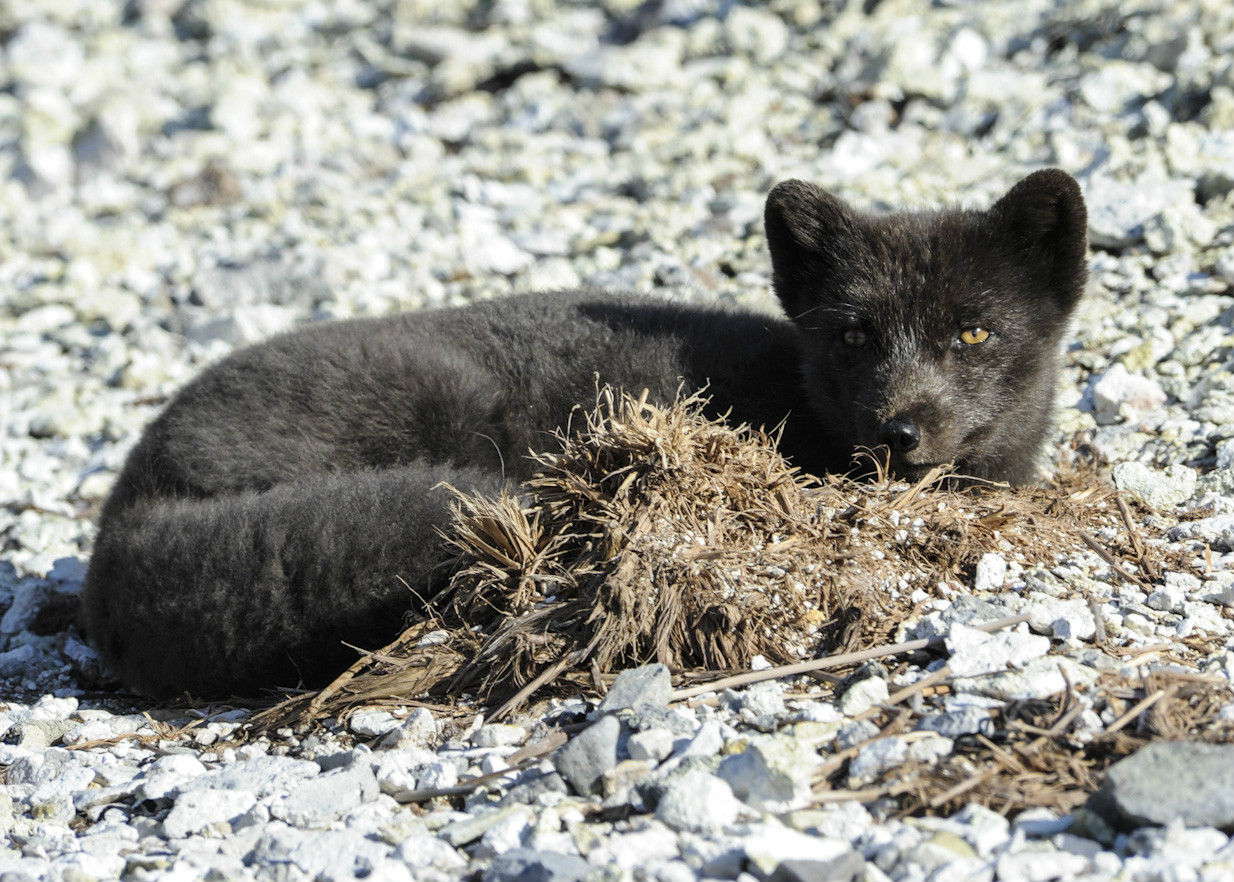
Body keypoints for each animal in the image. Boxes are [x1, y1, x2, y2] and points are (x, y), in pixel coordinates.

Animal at [82, 170, 1085, 695]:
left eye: (973, 333)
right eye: (853, 336)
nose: (898, 431)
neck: (792, 396)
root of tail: (120, 522)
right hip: (446, 406)